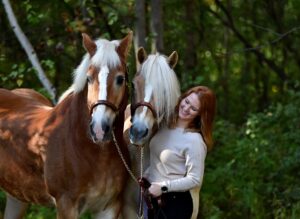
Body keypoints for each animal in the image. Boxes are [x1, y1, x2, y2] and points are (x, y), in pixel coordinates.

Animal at [0, 31, 132, 218]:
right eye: (89, 78)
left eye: (120, 79)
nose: (99, 129)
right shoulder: (66, 204)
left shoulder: (109, 206)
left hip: (17, 196)